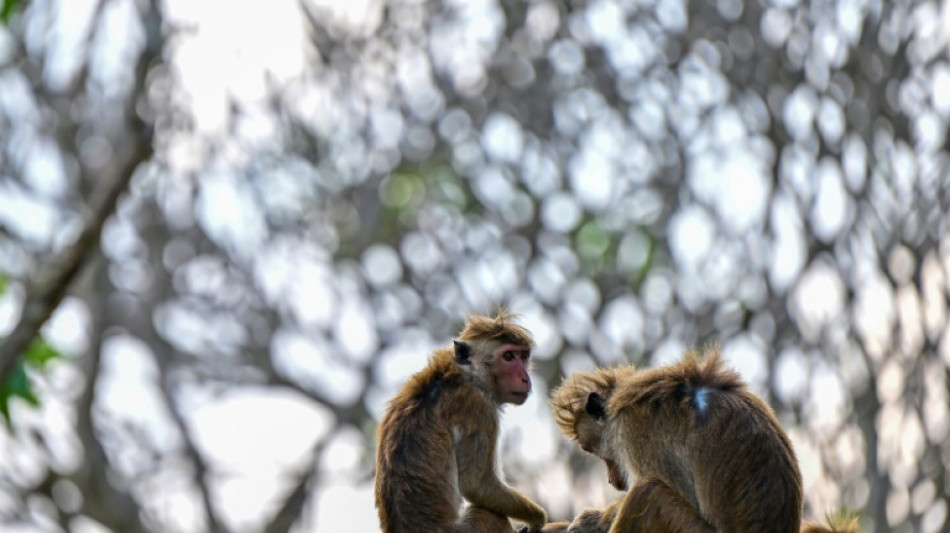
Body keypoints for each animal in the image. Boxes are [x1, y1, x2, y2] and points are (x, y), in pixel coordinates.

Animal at [372, 312, 552, 532]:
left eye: (523, 356)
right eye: (508, 356)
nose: (525, 378)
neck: (469, 374)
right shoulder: (478, 407)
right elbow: (477, 484)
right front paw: (537, 518)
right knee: (487, 514)